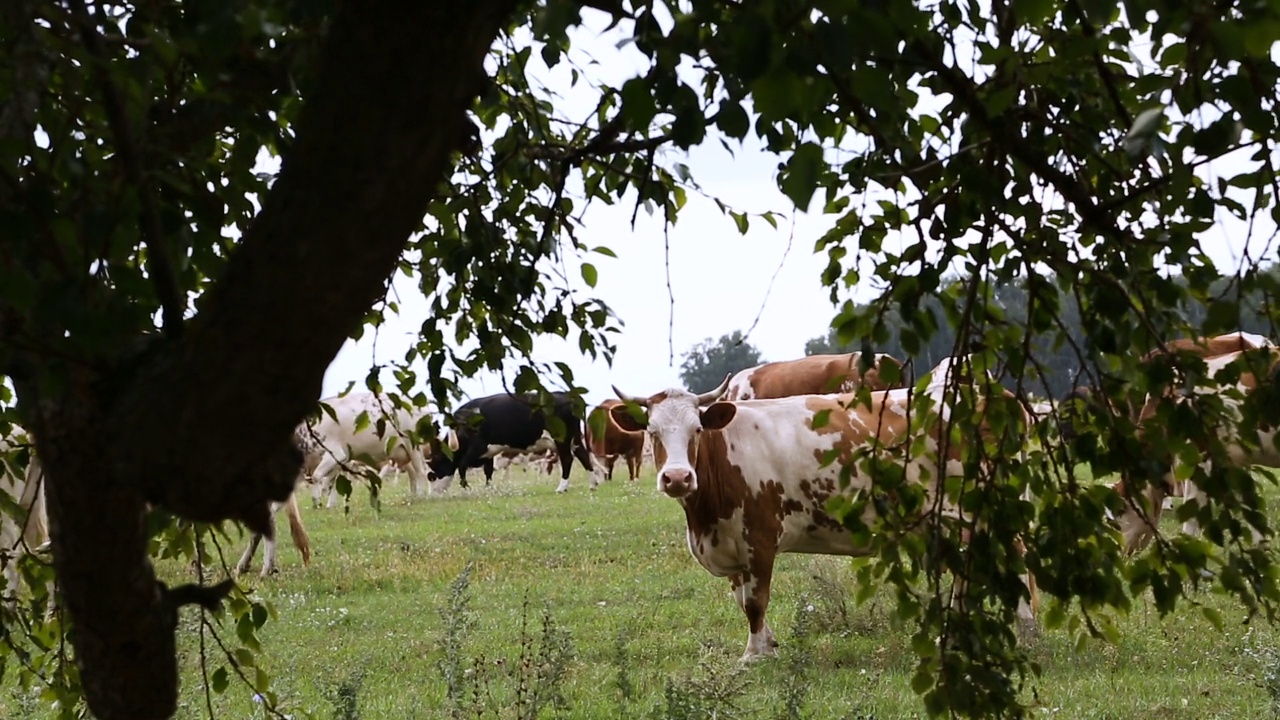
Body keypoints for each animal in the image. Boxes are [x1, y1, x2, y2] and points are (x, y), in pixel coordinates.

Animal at [424, 389, 593, 489]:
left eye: (432, 474)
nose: (432, 494)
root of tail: (566, 394)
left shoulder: (478, 447)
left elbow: (462, 466)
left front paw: (466, 488)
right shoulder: (489, 452)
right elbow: (488, 470)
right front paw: (488, 488)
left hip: (562, 439)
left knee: (567, 459)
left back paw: (562, 488)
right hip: (575, 438)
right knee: (583, 455)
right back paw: (593, 484)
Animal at [604, 361, 1034, 661]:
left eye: (696, 431)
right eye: (652, 433)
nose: (677, 478)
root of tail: (997, 396)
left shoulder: (760, 536)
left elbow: (755, 601)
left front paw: (754, 655)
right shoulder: (731, 540)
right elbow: (742, 599)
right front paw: (768, 644)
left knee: (1013, 558)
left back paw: (1027, 629)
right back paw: (955, 634)